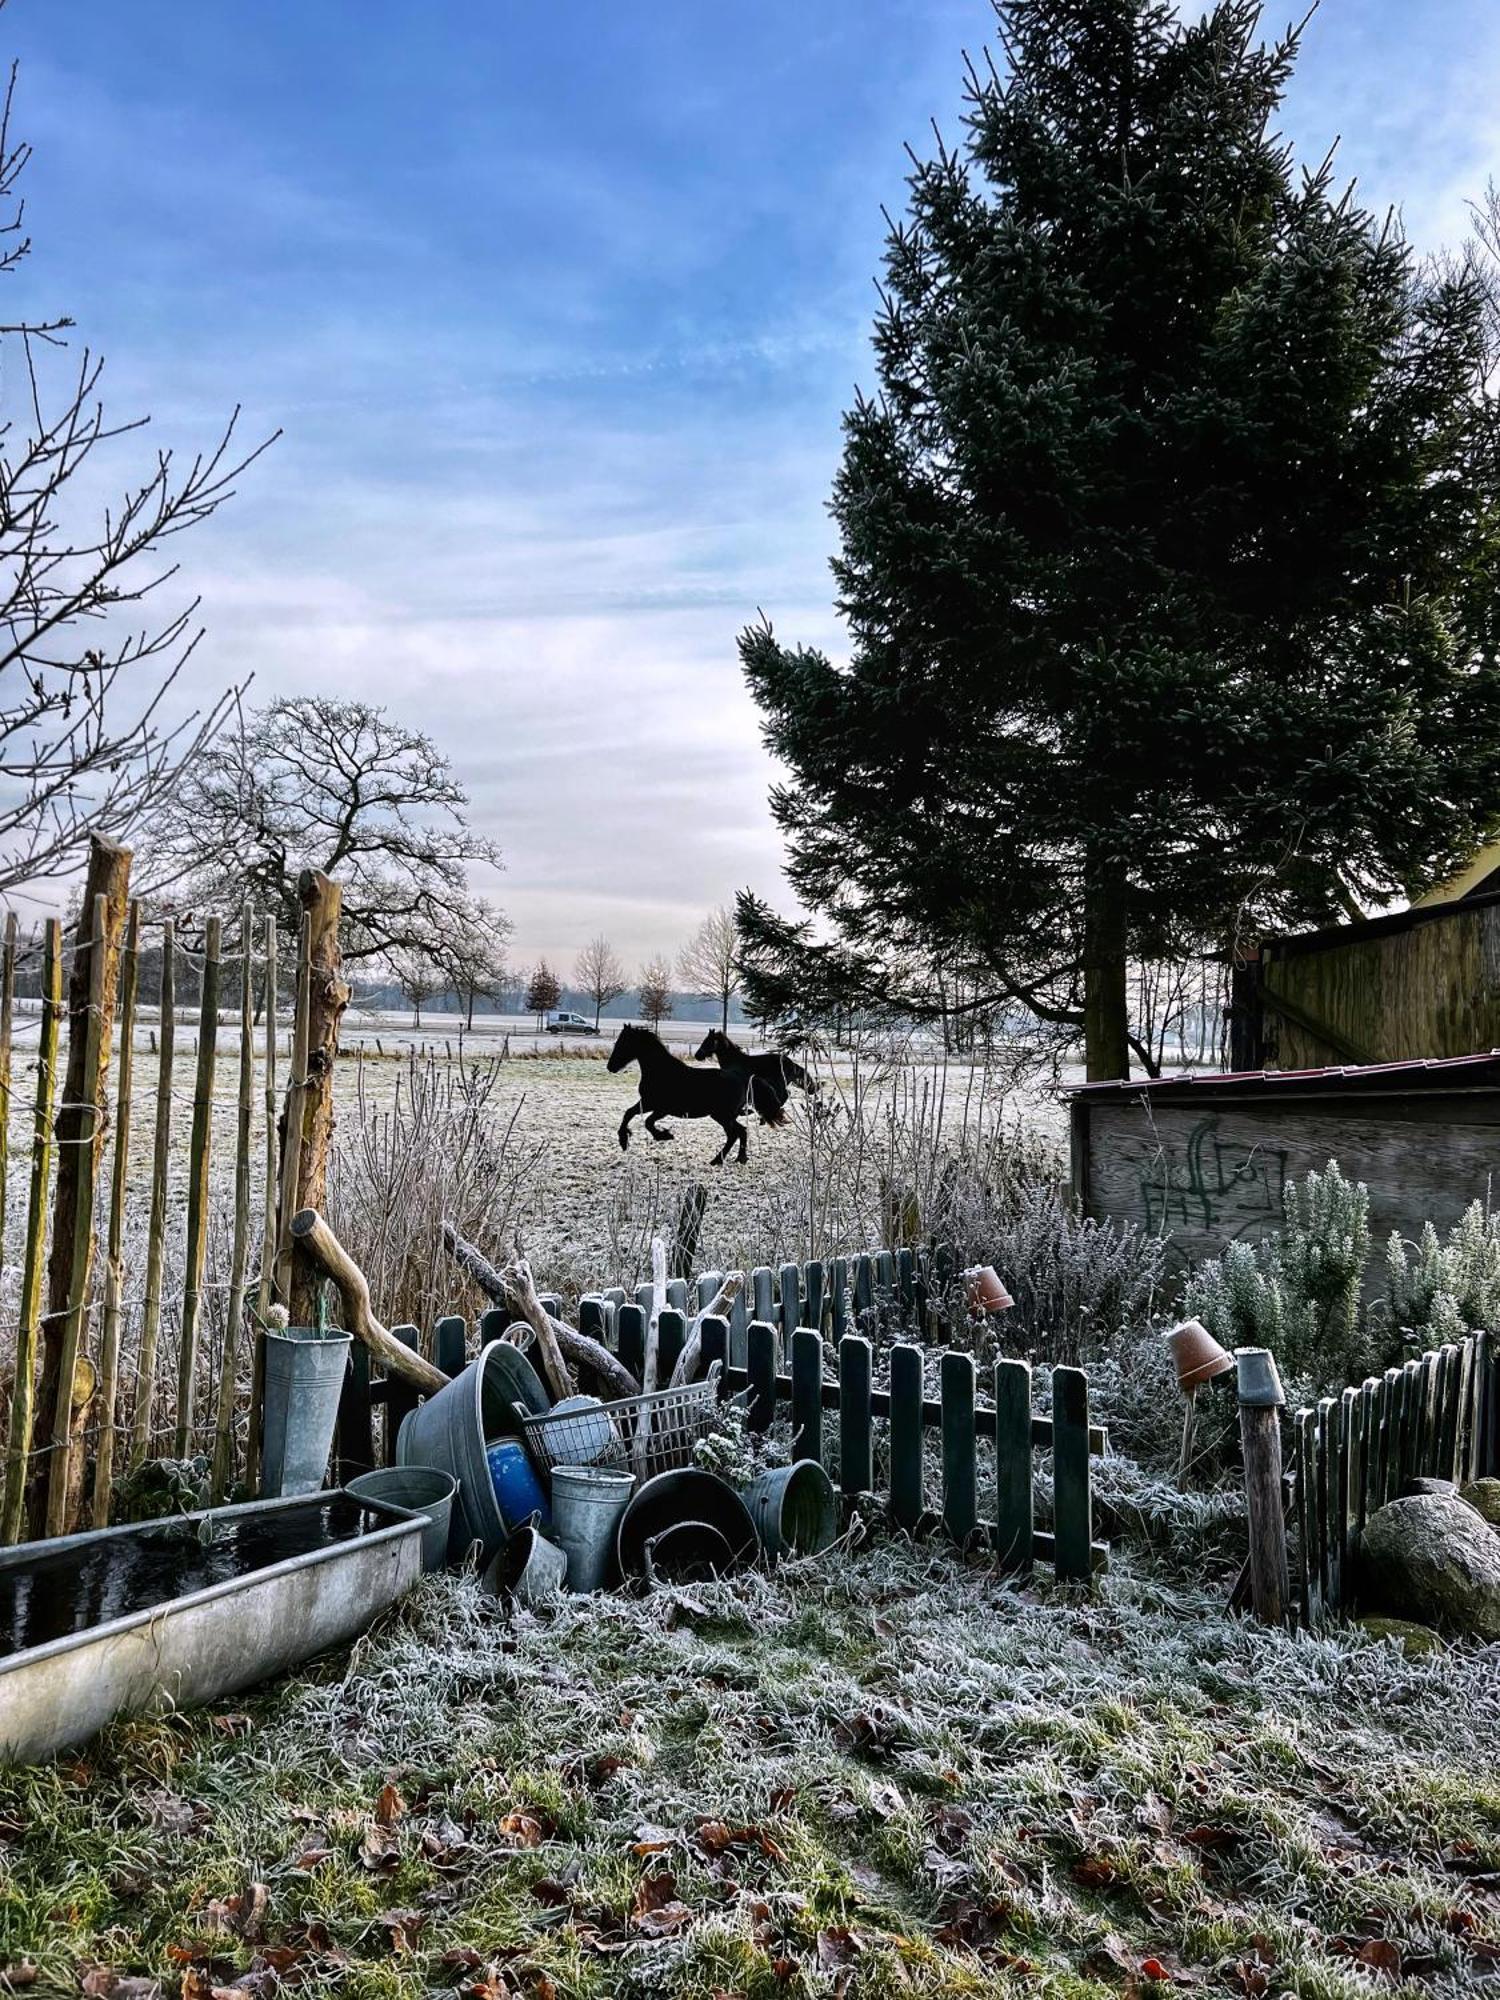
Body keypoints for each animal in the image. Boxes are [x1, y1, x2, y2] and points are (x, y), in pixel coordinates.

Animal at [612, 1024, 780, 1168]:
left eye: (623, 1043)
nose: (610, 1066)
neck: (661, 1071)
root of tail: (744, 1080)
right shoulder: (647, 1103)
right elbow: (629, 1113)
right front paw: (623, 1141)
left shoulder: (660, 1108)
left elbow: (647, 1122)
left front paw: (664, 1135)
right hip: (725, 1116)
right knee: (741, 1131)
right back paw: (739, 1158)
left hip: (723, 1116)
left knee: (734, 1134)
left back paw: (718, 1160)